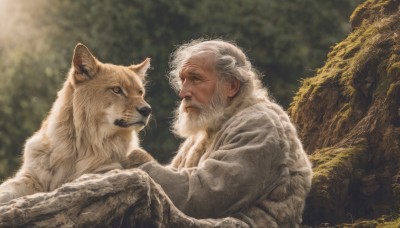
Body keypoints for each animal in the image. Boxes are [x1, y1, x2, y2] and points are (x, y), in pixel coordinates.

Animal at [0, 44, 155, 203]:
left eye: (140, 92)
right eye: (117, 89)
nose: (147, 110)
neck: (78, 146)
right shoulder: (31, 177)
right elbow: (7, 190)